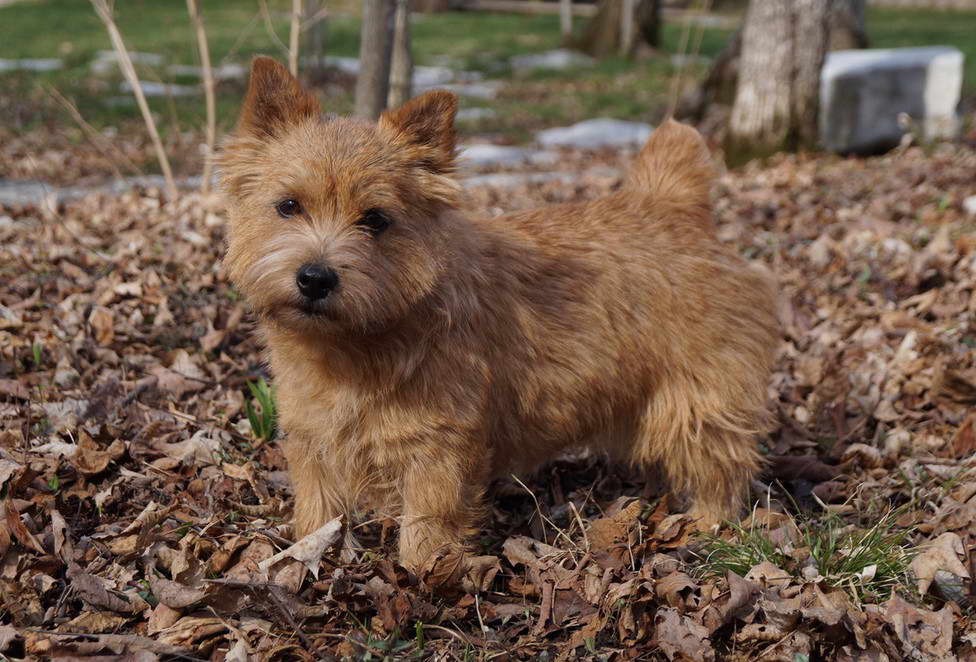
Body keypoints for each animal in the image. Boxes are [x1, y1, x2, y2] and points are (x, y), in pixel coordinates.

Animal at [219, 57, 776, 572]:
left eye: (375, 219)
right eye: (288, 205)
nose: (315, 278)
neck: (355, 346)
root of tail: (676, 207)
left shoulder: (439, 448)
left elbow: (428, 525)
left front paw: (428, 576)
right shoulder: (313, 439)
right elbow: (317, 511)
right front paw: (305, 559)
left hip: (699, 397)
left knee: (720, 466)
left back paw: (707, 526)